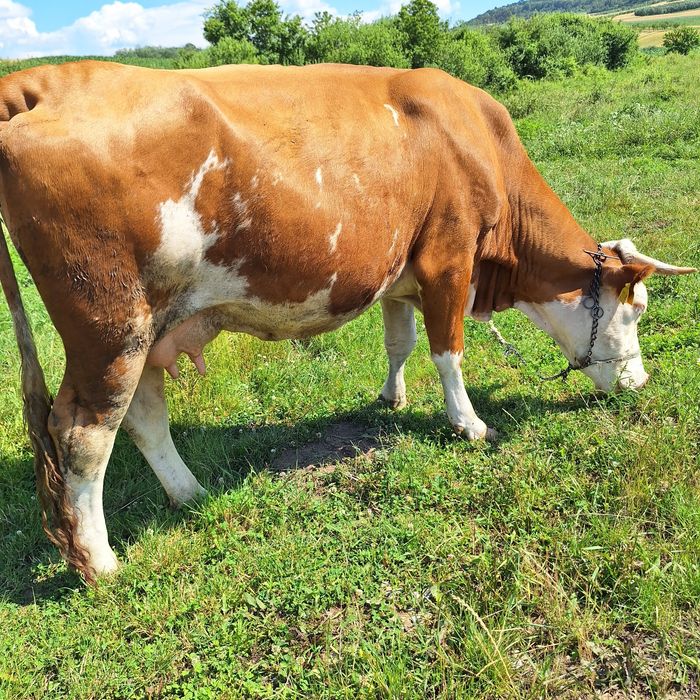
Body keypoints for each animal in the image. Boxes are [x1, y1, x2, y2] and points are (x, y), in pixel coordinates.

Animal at [0, 61, 695, 582]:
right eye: (636, 308)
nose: (638, 384)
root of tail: (40, 81)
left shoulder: (402, 271)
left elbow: (400, 341)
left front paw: (392, 396)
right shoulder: (449, 260)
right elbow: (448, 351)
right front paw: (469, 423)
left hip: (145, 330)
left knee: (141, 416)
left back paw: (189, 494)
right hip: (108, 326)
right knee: (84, 434)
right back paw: (100, 562)